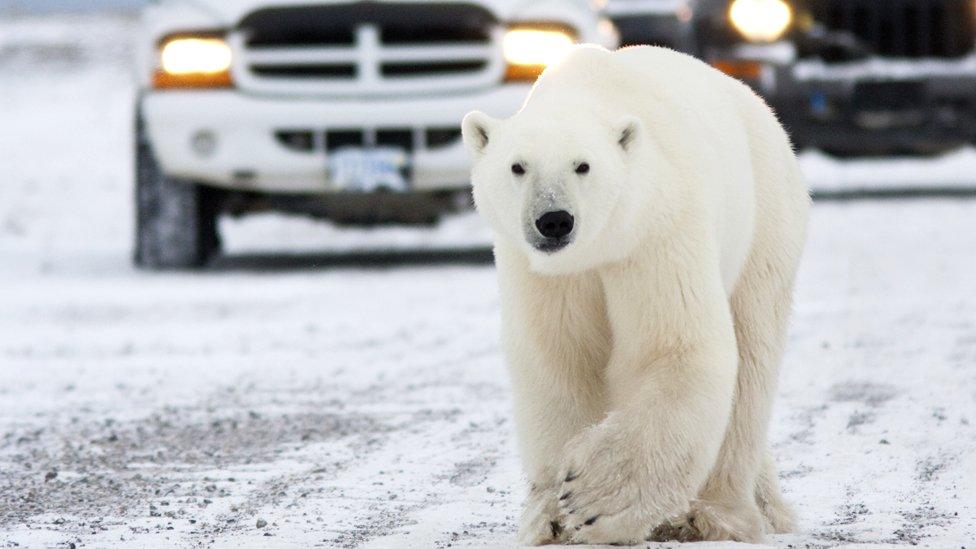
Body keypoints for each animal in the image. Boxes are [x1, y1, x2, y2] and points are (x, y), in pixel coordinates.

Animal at [464, 46, 808, 544]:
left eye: (583, 165)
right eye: (518, 166)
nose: (554, 220)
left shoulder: (656, 230)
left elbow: (673, 348)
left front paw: (594, 499)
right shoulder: (546, 275)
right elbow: (558, 359)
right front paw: (550, 516)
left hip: (764, 224)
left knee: (751, 357)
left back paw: (719, 514)